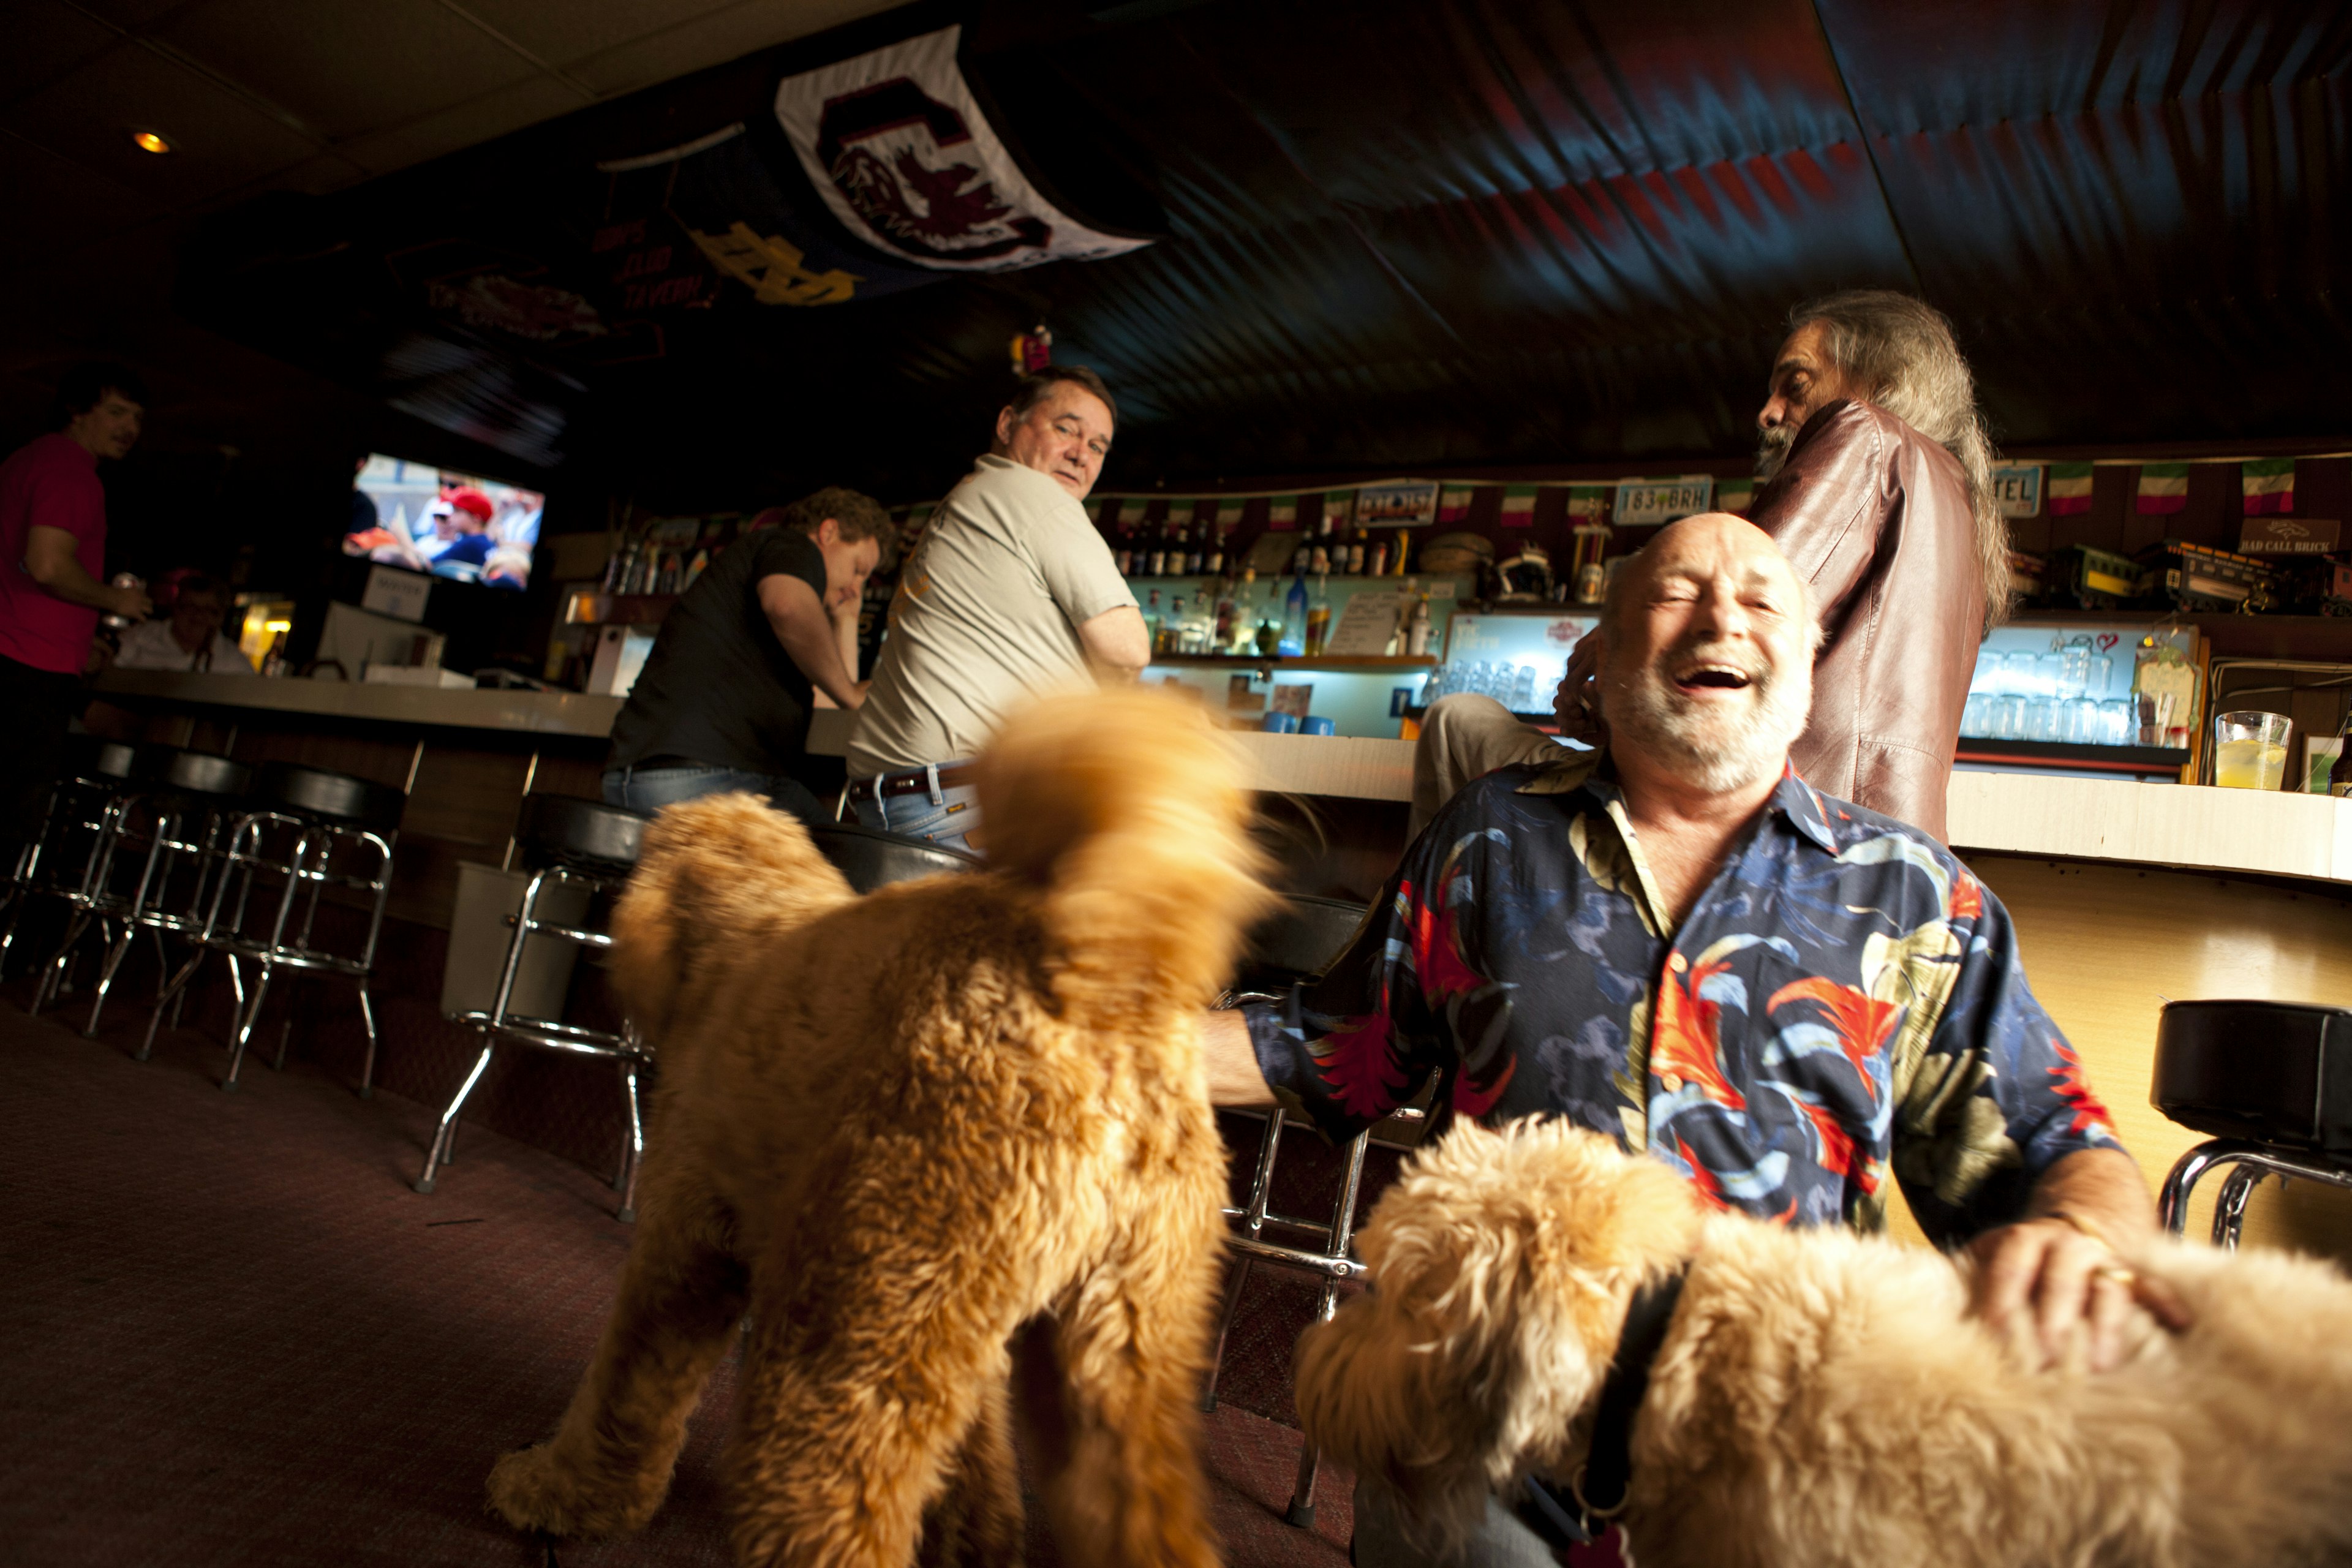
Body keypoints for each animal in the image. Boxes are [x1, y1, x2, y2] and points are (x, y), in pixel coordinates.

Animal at [484, 696, 1279, 1568]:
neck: (749, 919)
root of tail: (1105, 988)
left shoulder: (685, 1246)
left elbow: (623, 1393)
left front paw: (558, 1494)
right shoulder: (968, 1338)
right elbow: (972, 1466)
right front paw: (976, 1542)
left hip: (856, 1321)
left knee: (832, 1508)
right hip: (1116, 1354)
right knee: (1140, 1514)